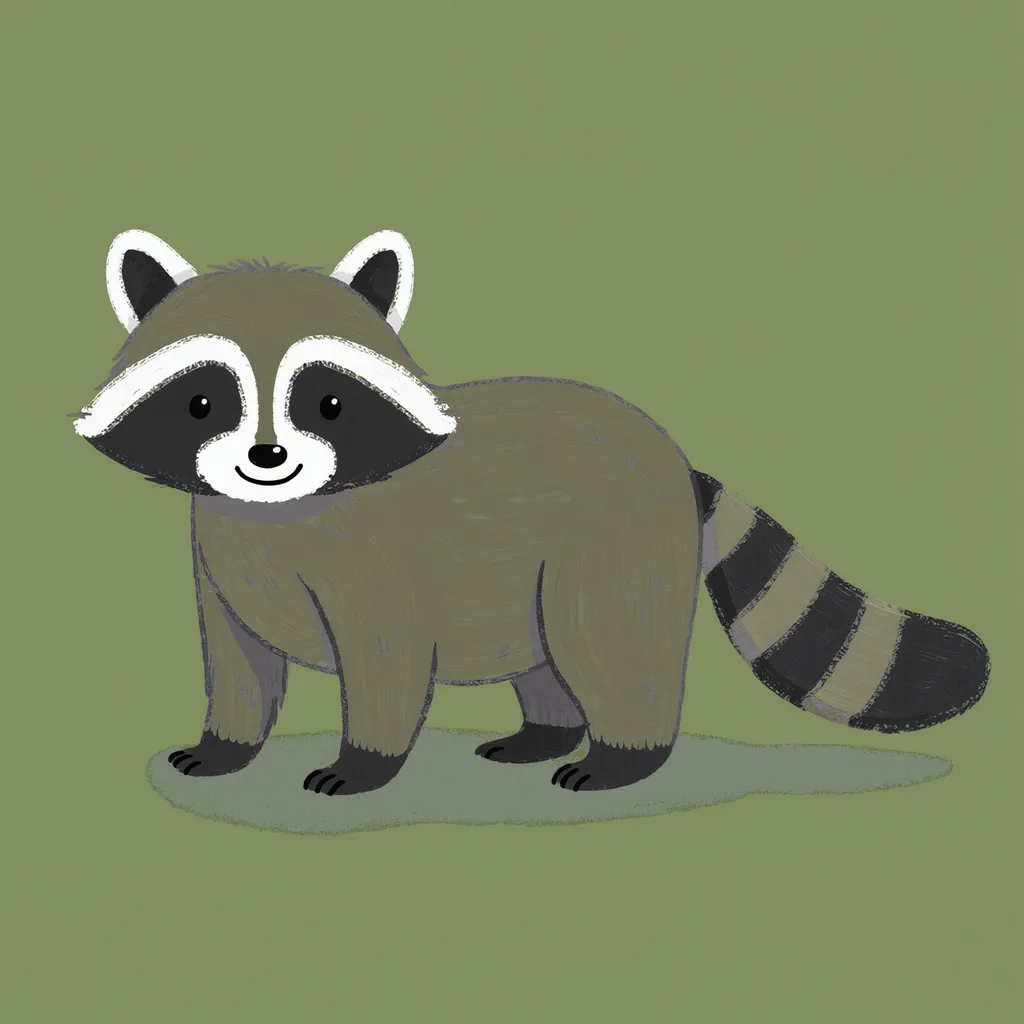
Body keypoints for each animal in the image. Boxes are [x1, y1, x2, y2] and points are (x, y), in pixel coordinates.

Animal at [73, 228, 991, 795]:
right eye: (202, 401)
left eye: (329, 402)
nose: (267, 461)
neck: (276, 512)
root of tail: (674, 462)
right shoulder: (219, 556)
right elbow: (238, 666)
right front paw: (225, 745)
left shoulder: (377, 562)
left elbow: (386, 663)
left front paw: (363, 762)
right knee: (550, 655)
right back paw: (547, 731)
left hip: (619, 542)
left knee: (608, 647)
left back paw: (621, 755)